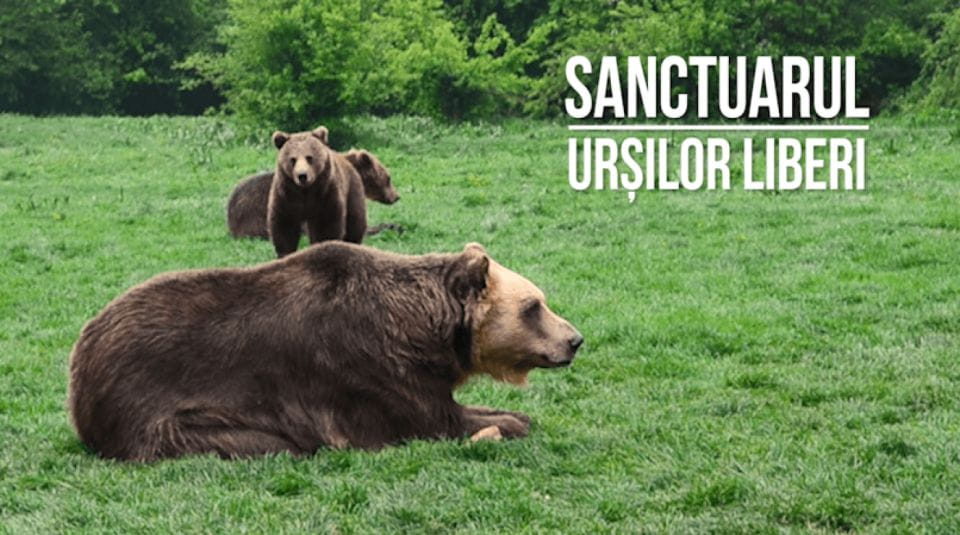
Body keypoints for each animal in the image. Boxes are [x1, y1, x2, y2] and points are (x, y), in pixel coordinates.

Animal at [67, 242, 584, 461]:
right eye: (534, 306)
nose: (574, 339)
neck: (422, 331)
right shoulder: (366, 366)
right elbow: (431, 420)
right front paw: (509, 423)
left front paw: (509, 415)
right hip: (158, 409)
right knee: (264, 443)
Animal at [267, 128, 368, 257]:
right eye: (292, 159)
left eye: (309, 157)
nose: (302, 176)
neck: (306, 191)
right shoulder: (286, 196)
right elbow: (284, 226)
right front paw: (286, 253)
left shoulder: (325, 195)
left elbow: (326, 226)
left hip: (352, 190)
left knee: (355, 224)